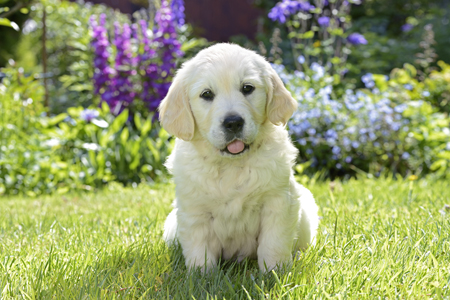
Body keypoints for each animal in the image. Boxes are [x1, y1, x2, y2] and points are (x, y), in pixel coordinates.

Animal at [160, 42, 318, 272]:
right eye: (206, 94)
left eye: (247, 88)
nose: (233, 122)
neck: (231, 165)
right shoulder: (194, 209)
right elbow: (199, 246)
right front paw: (201, 274)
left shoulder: (278, 201)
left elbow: (274, 241)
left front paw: (275, 271)